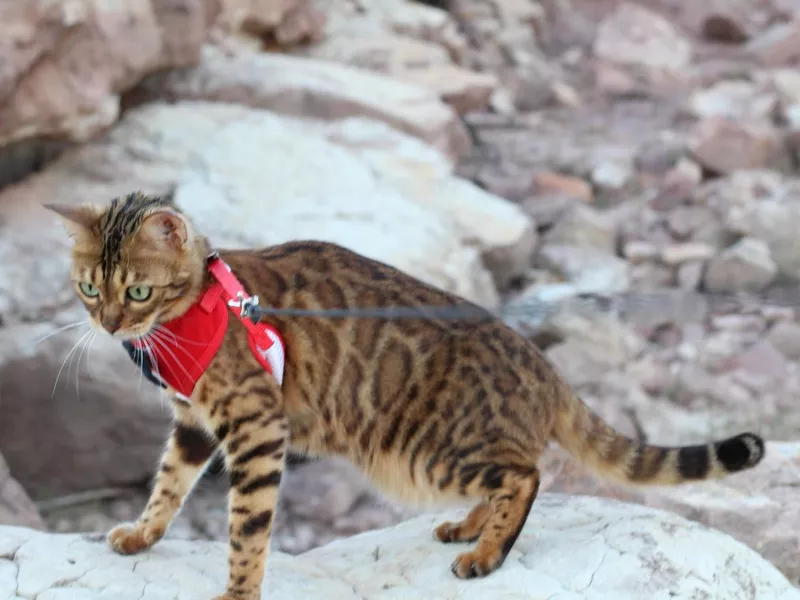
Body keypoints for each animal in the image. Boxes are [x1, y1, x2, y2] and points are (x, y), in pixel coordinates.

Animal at [45, 193, 768, 600]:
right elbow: (168, 485)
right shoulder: (194, 423)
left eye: (138, 291)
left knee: (527, 474)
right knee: (516, 474)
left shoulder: (256, 428)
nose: (108, 324)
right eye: (89, 287)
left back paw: (486, 554)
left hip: (421, 453)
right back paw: (469, 527)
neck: (189, 316)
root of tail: (543, 367)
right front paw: (142, 534)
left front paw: (237, 592)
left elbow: (246, 529)